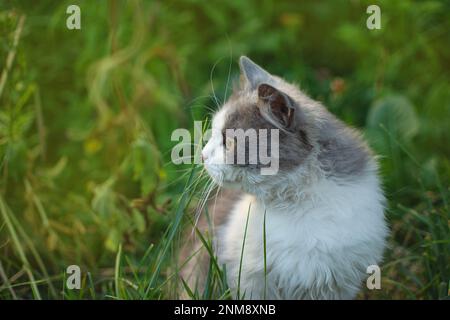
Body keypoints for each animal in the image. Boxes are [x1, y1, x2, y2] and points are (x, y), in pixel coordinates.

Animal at [181, 55, 388, 300]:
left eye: (228, 141)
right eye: (213, 134)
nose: (202, 155)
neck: (296, 207)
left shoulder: (336, 284)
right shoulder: (250, 280)